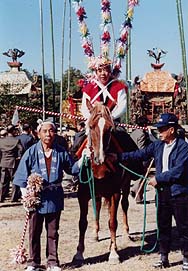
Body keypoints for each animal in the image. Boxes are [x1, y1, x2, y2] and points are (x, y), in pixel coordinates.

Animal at [72, 101, 142, 264]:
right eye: (91, 126)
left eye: (110, 128)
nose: (100, 158)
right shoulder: (82, 193)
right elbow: (82, 223)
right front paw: (79, 253)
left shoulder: (114, 193)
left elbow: (112, 223)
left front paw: (114, 253)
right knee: (97, 206)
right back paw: (95, 233)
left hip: (124, 185)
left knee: (124, 205)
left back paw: (126, 233)